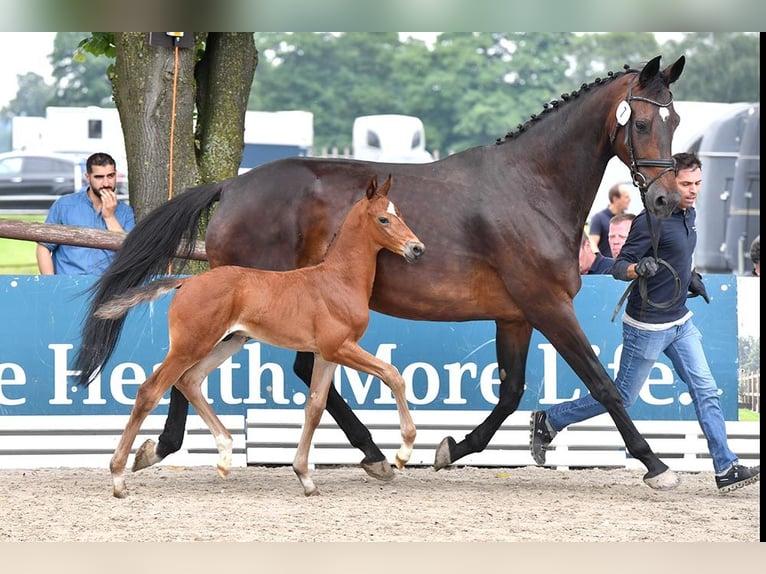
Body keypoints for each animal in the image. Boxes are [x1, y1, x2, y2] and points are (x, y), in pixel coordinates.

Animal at [96, 173, 426, 498]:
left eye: (400, 213)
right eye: (384, 219)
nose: (416, 248)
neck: (338, 280)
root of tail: (185, 283)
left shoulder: (326, 354)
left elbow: (315, 407)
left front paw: (305, 477)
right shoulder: (340, 347)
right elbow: (392, 374)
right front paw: (403, 451)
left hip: (227, 342)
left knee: (190, 381)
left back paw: (225, 454)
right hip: (190, 346)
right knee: (150, 391)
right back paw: (118, 478)